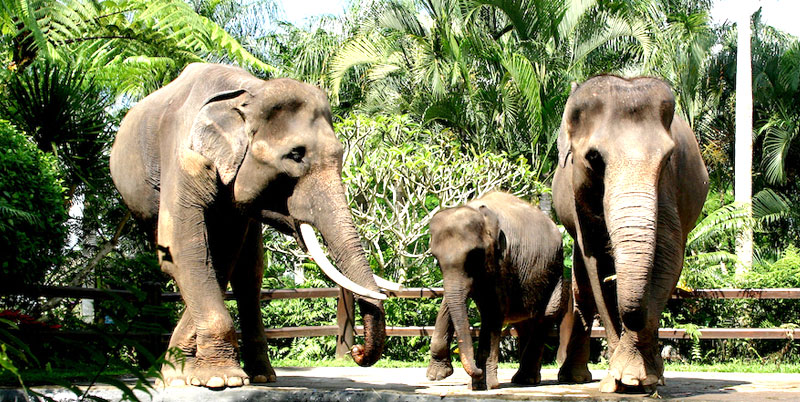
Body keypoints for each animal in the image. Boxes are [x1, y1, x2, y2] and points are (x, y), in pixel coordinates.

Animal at [109, 63, 400, 390]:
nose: (357, 350)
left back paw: (260, 375)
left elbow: (221, 255)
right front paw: (217, 379)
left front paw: (189, 374)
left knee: (250, 273)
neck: (249, 92)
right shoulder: (184, 158)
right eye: (295, 155)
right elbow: (184, 251)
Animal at [424, 192, 568, 390]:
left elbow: (493, 311)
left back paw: (525, 379)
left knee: (546, 314)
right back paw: (525, 379)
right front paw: (437, 376)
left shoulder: (503, 260)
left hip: (555, 270)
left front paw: (482, 385)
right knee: (524, 322)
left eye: (474, 255)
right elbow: (448, 302)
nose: (476, 370)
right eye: (435, 258)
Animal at [552, 75, 708, 392]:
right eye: (594, 158)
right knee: (583, 287)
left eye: (668, 157)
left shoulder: (668, 186)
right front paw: (618, 382)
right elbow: (595, 262)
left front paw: (638, 379)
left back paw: (657, 376)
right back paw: (574, 377)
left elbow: (668, 254)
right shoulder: (578, 196)